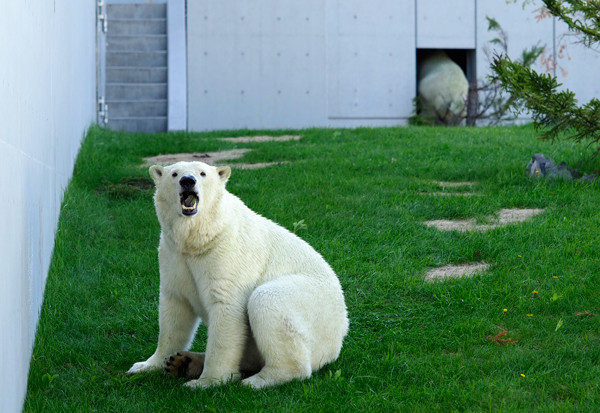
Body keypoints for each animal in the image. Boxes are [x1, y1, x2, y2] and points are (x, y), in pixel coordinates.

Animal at [129, 159, 350, 388]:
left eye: (202, 173)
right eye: (174, 174)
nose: (187, 181)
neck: (200, 238)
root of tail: (341, 331)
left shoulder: (226, 255)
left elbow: (227, 309)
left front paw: (206, 382)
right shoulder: (173, 255)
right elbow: (174, 311)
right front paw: (147, 364)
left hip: (312, 307)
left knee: (267, 300)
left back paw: (257, 380)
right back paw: (182, 362)